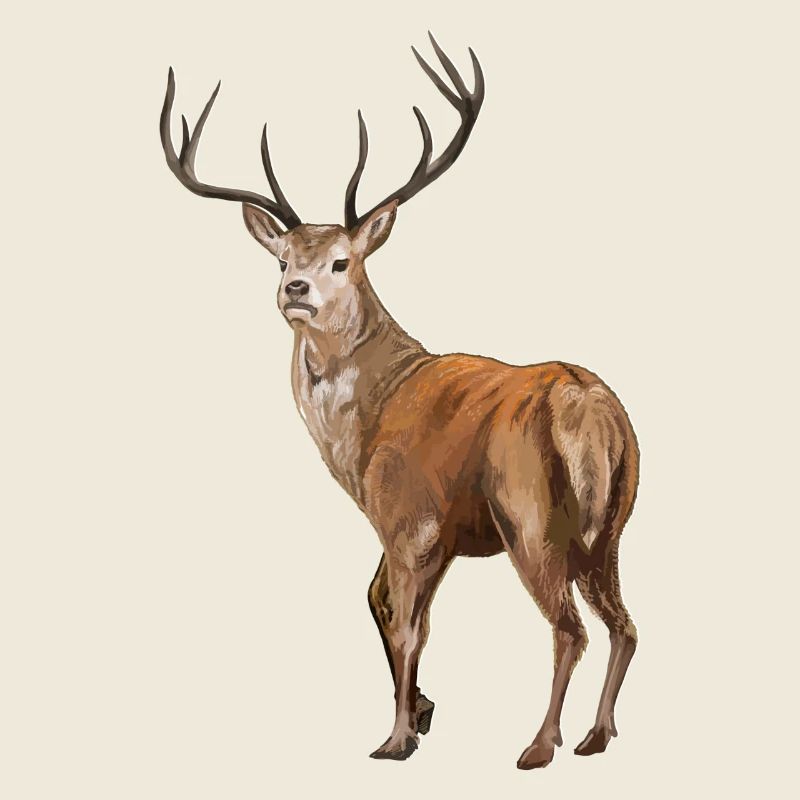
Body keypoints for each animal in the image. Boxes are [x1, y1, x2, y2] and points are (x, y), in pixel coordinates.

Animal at [160, 34, 640, 770]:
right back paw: (596, 734)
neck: (362, 433)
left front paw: (397, 737)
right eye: (281, 259)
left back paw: (539, 744)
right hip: (611, 524)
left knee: (570, 628)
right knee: (625, 624)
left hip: (530, 516)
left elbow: (404, 621)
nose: (294, 289)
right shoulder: (434, 536)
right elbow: (384, 604)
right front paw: (423, 712)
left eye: (341, 261)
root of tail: (583, 403)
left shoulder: (407, 515)